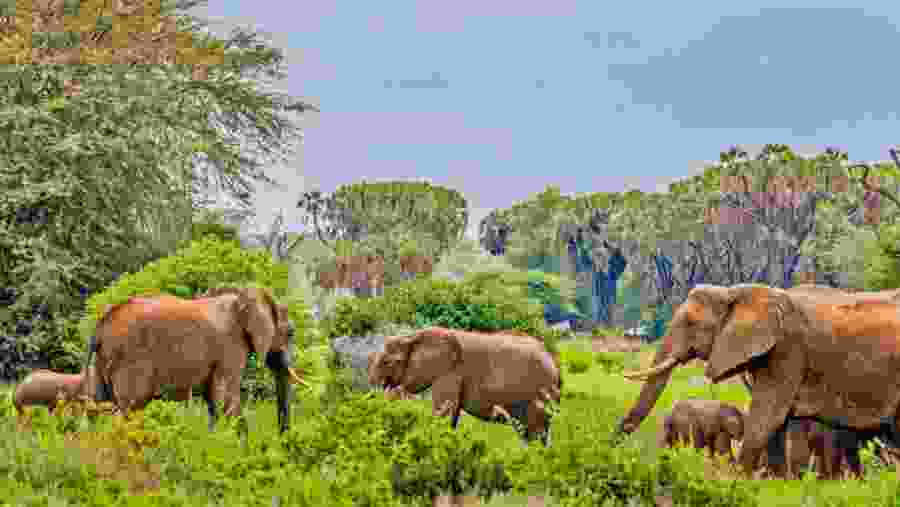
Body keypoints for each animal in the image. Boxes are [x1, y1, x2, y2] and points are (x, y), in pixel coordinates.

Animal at [84, 287, 306, 433]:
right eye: (291, 333)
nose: (283, 438)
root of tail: (101, 323)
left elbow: (214, 400)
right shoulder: (230, 346)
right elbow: (228, 399)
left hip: (103, 359)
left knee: (99, 409)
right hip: (129, 358)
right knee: (127, 410)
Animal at [367, 326, 562, 446]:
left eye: (388, 362)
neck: (413, 336)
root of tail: (554, 362)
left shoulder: (450, 372)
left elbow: (444, 411)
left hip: (540, 393)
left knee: (535, 431)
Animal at [614, 283, 900, 477]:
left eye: (691, 322)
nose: (614, 444)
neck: (735, 293)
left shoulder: (787, 351)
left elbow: (767, 417)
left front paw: (737, 482)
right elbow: (777, 423)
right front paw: (777, 484)